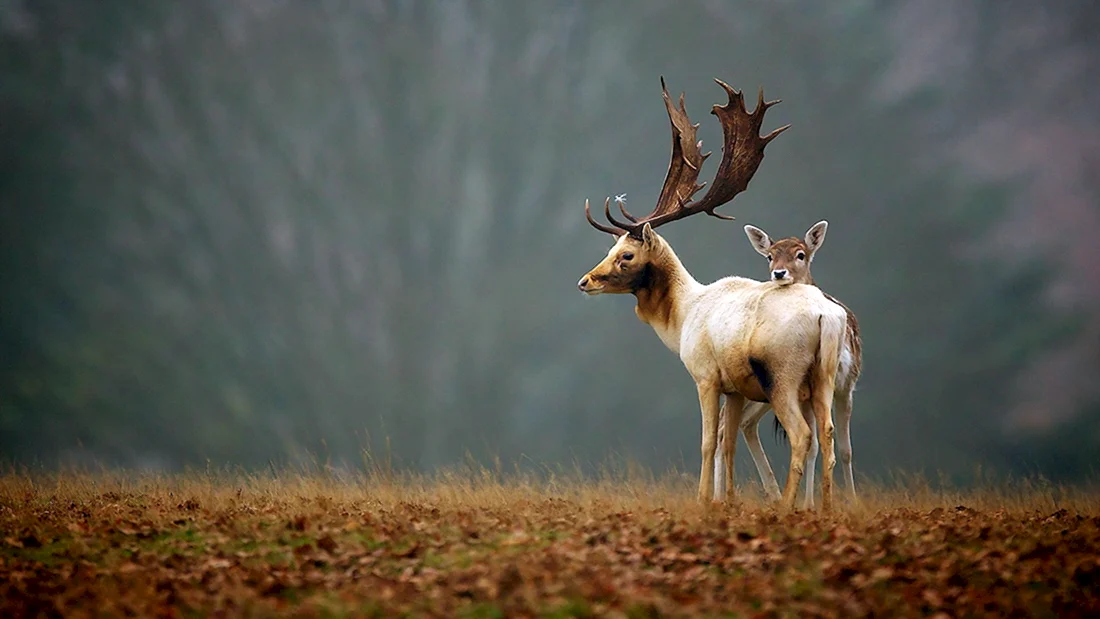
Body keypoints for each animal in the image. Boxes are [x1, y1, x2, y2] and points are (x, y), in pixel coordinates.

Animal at [576, 77, 848, 510]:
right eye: (610, 248)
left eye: (626, 255)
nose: (585, 281)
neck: (683, 316)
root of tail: (827, 316)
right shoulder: (734, 387)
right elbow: (728, 443)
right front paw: (728, 500)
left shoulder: (705, 375)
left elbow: (707, 441)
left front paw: (704, 499)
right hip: (823, 375)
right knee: (828, 435)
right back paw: (823, 508)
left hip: (782, 375)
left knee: (802, 435)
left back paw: (786, 507)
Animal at [713, 221, 863, 508]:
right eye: (770, 256)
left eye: (800, 254)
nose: (779, 273)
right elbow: (816, 445)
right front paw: (809, 504)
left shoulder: (847, 384)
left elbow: (845, 449)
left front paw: (848, 501)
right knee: (728, 426)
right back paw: (720, 498)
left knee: (742, 425)